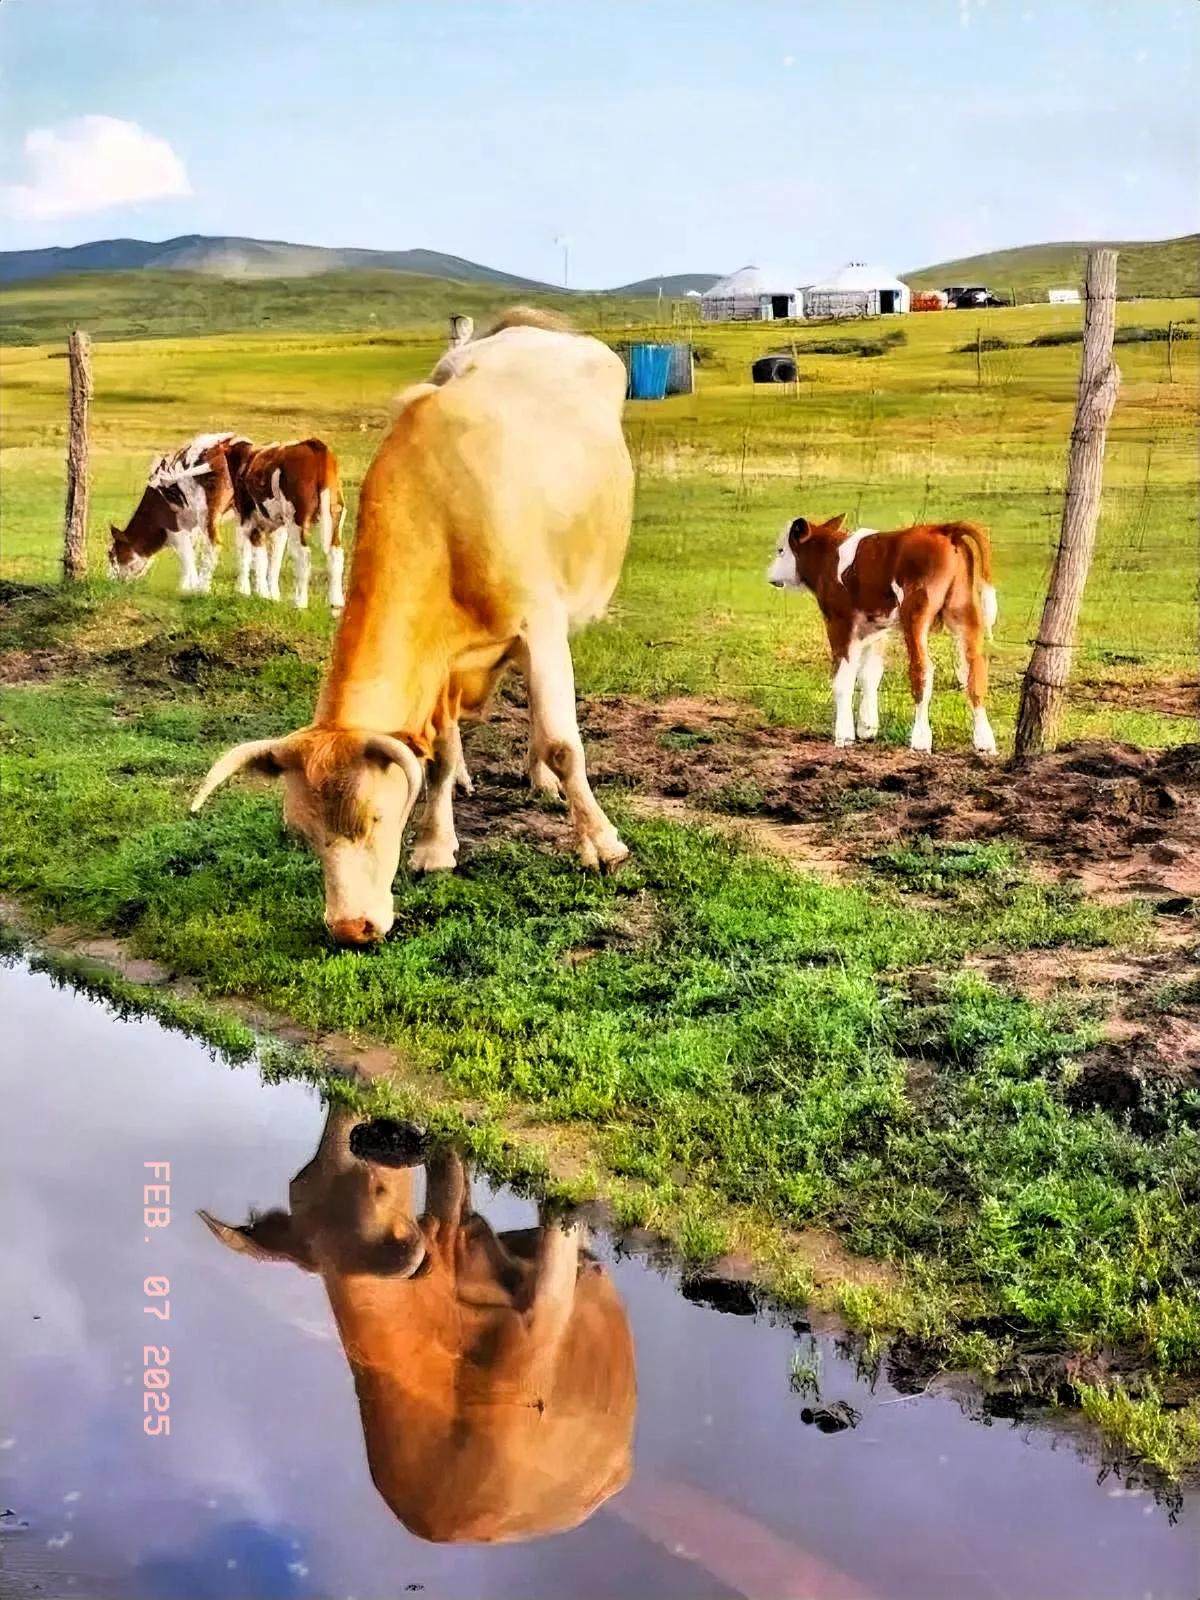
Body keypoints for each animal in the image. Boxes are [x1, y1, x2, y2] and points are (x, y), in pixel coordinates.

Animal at [108, 432, 246, 595]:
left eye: (112, 555)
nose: (109, 580)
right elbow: (191, 553)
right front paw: (187, 586)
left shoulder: (175, 529)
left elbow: (186, 556)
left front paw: (187, 589)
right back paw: (243, 589)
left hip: (208, 512)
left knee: (215, 543)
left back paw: (203, 589)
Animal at [202, 1107, 640, 1542]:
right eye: (300, 1181)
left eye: (378, 1189)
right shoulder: (452, 1228)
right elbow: (449, 1174)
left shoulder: (546, 1308)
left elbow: (556, 1215)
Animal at [227, 435, 347, 608]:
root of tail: (314, 445)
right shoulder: (279, 528)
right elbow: (274, 560)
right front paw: (273, 596)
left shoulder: (246, 519)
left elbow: (249, 555)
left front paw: (248, 591)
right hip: (335, 514)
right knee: (336, 553)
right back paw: (336, 602)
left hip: (296, 519)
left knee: (303, 555)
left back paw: (300, 603)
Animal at [764, 518, 998, 755]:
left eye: (781, 549)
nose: (769, 576)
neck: (829, 558)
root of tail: (941, 528)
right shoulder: (874, 628)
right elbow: (870, 674)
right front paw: (867, 728)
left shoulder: (840, 623)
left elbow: (843, 679)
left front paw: (844, 735)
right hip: (964, 612)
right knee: (973, 671)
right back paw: (984, 741)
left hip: (916, 614)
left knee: (922, 670)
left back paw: (921, 739)